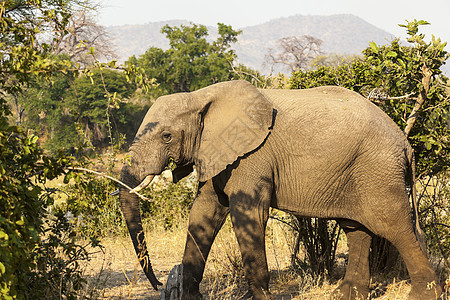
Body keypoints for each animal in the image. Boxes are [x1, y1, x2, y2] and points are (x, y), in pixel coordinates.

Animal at [118, 80, 442, 300]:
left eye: (167, 136)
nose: (158, 284)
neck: (202, 96)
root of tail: (406, 143)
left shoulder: (251, 157)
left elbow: (248, 215)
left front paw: (263, 298)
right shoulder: (216, 151)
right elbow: (204, 214)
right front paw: (190, 296)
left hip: (378, 170)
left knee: (394, 226)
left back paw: (423, 295)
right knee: (356, 229)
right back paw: (345, 294)